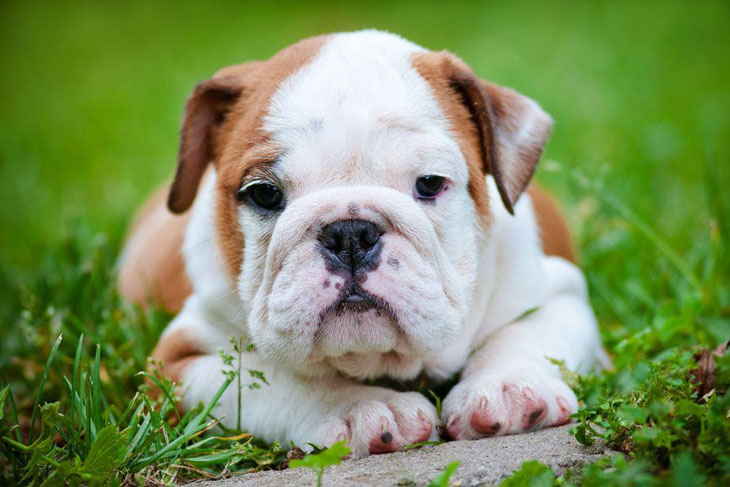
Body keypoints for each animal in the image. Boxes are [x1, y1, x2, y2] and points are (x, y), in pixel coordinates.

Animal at [119, 29, 604, 458]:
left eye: (430, 183)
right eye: (263, 193)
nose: (350, 233)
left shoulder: (560, 293)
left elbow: (527, 332)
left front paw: (507, 387)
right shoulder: (183, 359)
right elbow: (280, 381)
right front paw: (363, 408)